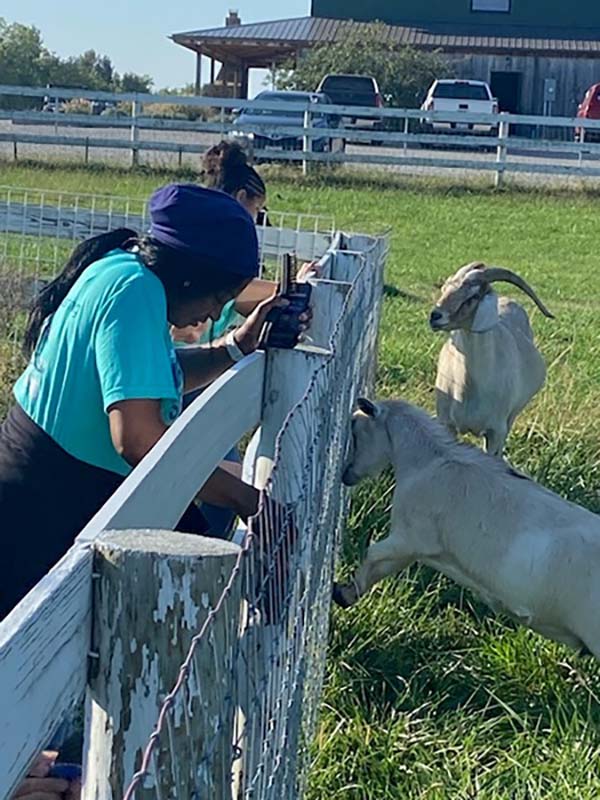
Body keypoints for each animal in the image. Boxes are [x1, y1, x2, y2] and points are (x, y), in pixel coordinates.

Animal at [332, 396, 600, 660]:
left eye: (355, 428)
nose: (346, 475)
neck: (430, 460)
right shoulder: (416, 549)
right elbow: (382, 567)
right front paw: (346, 595)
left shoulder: (410, 537)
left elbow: (373, 553)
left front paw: (342, 592)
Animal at [432, 262, 552, 456]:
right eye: (444, 289)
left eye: (473, 296)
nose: (435, 316)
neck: (469, 386)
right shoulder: (447, 424)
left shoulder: (496, 431)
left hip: (511, 416)